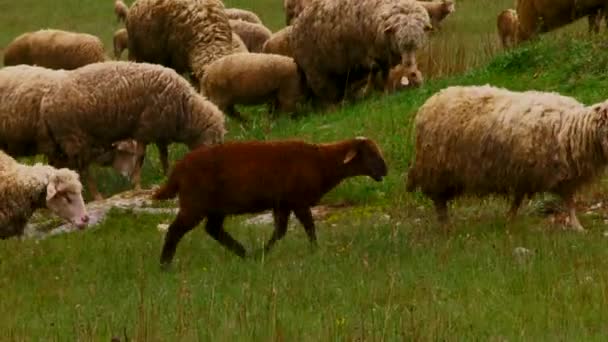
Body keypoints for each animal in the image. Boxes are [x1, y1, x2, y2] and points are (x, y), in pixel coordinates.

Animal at [154, 136, 388, 268]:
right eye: (371, 153)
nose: (386, 170)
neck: (322, 161)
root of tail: (177, 170)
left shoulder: (282, 204)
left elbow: (280, 232)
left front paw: (263, 253)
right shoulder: (298, 201)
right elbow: (309, 228)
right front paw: (315, 251)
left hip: (216, 207)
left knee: (213, 230)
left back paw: (244, 254)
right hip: (194, 204)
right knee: (175, 231)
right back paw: (164, 265)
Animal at [290, 0, 430, 105]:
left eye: (417, 43)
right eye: (399, 40)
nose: (409, 65)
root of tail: (295, 25)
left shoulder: (383, 57)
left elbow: (382, 75)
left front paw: (380, 92)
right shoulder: (374, 55)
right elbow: (377, 74)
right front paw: (377, 93)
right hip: (315, 71)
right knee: (325, 94)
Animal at [404, 84, 608, 231]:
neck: (575, 129)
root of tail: (431, 100)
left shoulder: (539, 175)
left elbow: (565, 201)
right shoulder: (533, 172)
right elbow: (564, 202)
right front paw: (577, 227)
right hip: (437, 169)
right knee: (439, 201)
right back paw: (445, 225)